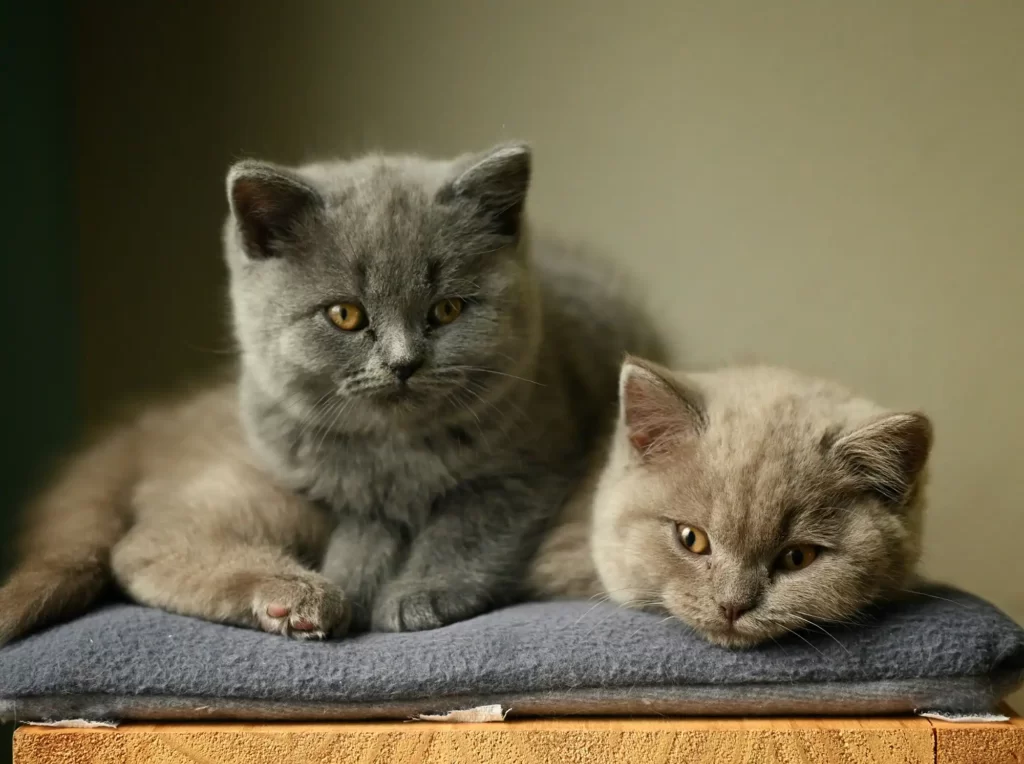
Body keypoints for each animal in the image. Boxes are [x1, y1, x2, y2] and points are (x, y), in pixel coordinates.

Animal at [0, 143, 663, 643]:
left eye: (447, 310)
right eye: (345, 315)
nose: (403, 363)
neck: (397, 451)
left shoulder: (525, 468)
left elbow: (464, 531)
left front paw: (420, 594)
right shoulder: (331, 485)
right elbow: (364, 538)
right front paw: (356, 590)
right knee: (145, 548)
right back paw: (298, 598)